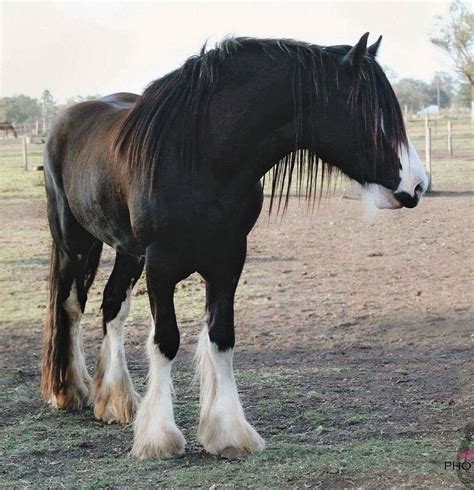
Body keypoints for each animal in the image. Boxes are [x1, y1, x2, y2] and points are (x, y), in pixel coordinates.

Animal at [41, 34, 426, 460]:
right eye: (370, 113)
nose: (417, 185)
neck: (201, 155)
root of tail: (67, 119)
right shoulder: (161, 264)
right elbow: (165, 340)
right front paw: (159, 437)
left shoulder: (228, 259)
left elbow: (221, 337)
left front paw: (229, 432)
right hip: (75, 242)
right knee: (71, 305)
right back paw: (71, 390)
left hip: (128, 251)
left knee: (113, 306)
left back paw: (115, 400)